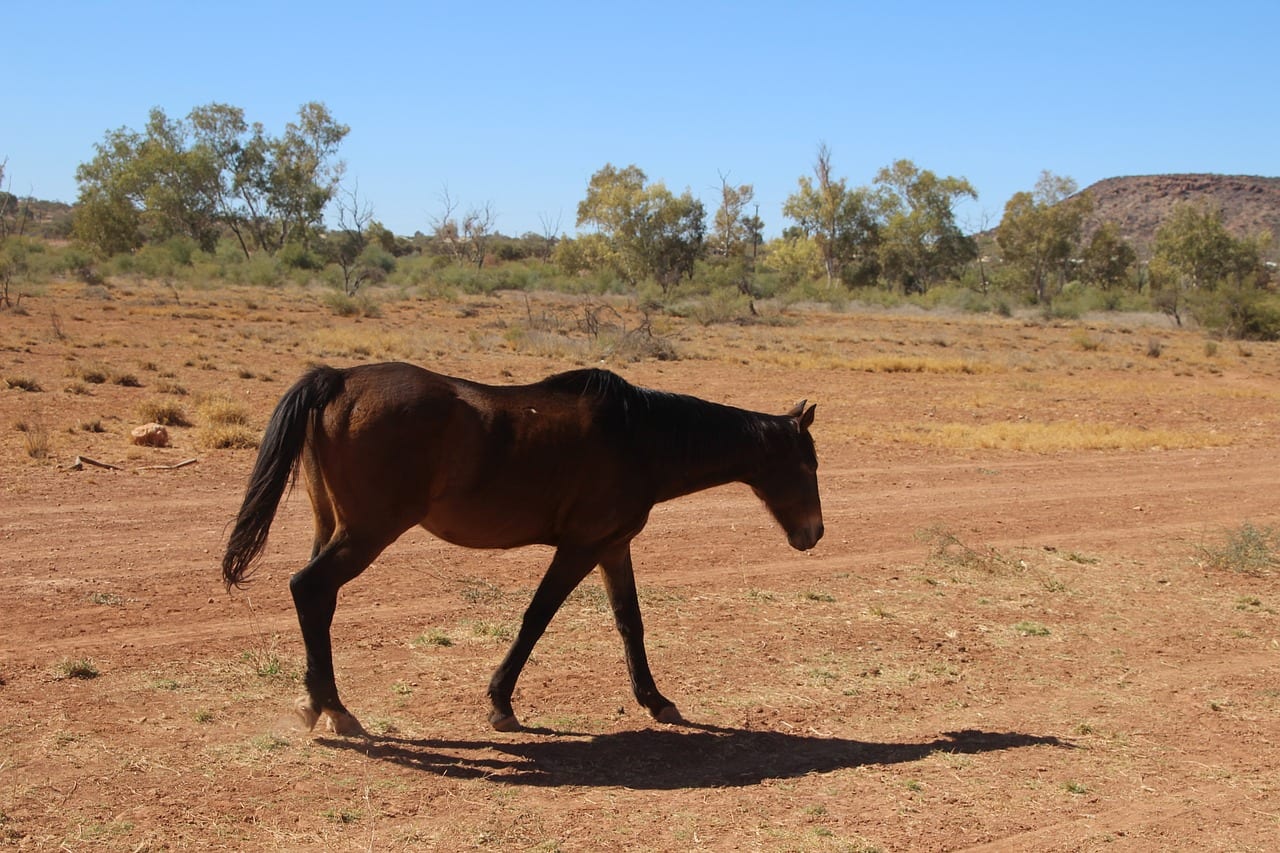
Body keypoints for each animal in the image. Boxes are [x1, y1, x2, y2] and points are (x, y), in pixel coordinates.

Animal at [221, 358, 824, 732]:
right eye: (808, 464)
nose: (814, 533)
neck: (642, 437)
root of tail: (339, 379)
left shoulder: (612, 547)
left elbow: (630, 623)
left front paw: (656, 700)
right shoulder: (581, 548)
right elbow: (537, 617)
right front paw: (500, 703)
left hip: (333, 528)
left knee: (317, 602)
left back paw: (316, 703)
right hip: (366, 533)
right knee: (309, 589)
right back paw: (335, 709)